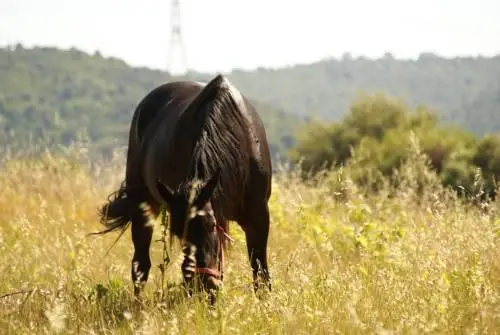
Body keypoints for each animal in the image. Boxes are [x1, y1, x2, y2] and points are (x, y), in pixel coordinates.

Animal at [97, 75, 274, 300]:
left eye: (211, 225)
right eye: (179, 233)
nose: (203, 284)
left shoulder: (258, 217)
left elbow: (260, 272)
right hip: (143, 205)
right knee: (140, 264)